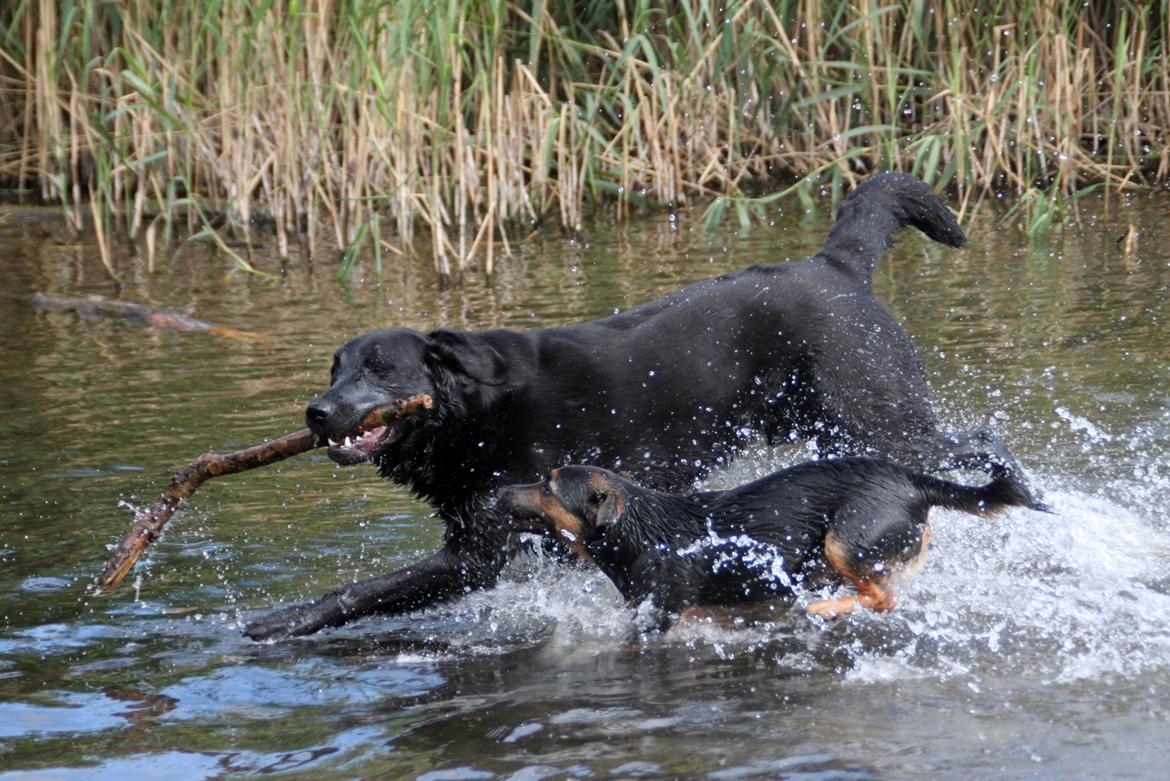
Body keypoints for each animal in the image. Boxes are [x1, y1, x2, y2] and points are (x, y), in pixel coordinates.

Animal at [493, 460, 1034, 631]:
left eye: (547, 486)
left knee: (883, 598)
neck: (642, 531)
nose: (497, 493)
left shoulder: (659, 615)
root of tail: (912, 480)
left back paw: (824, 607)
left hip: (846, 541)